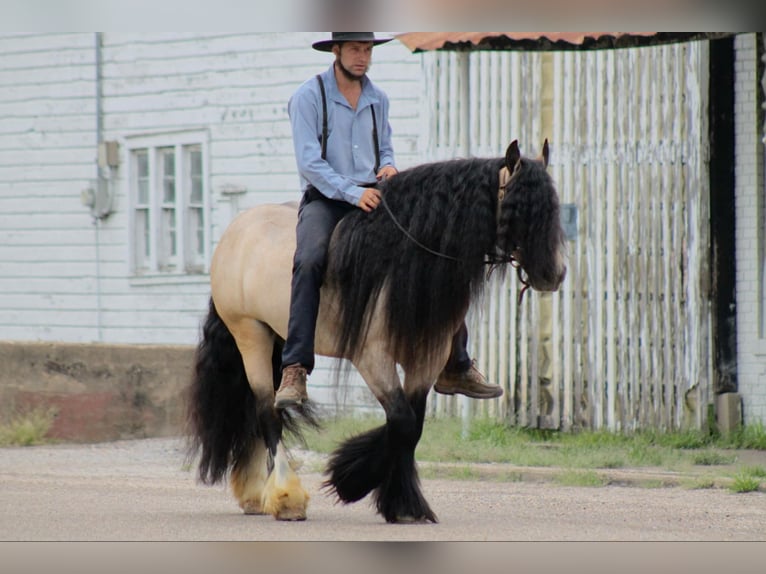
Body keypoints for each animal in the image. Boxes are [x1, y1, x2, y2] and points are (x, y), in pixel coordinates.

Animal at [188, 141, 568, 528]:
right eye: (517, 208)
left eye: (552, 207)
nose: (554, 274)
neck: (399, 258)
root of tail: (236, 231)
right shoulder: (372, 357)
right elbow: (402, 421)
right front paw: (354, 480)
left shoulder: (425, 359)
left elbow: (411, 426)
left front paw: (399, 501)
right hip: (250, 336)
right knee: (267, 412)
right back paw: (285, 496)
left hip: (277, 337)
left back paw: (256, 493)